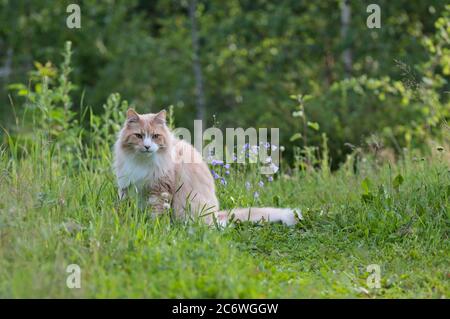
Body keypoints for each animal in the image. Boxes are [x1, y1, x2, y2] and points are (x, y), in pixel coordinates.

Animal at [113, 109, 302, 226]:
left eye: (155, 136)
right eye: (139, 136)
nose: (146, 146)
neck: (142, 162)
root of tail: (216, 215)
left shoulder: (159, 190)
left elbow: (156, 215)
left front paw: (154, 228)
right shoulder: (127, 188)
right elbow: (124, 209)